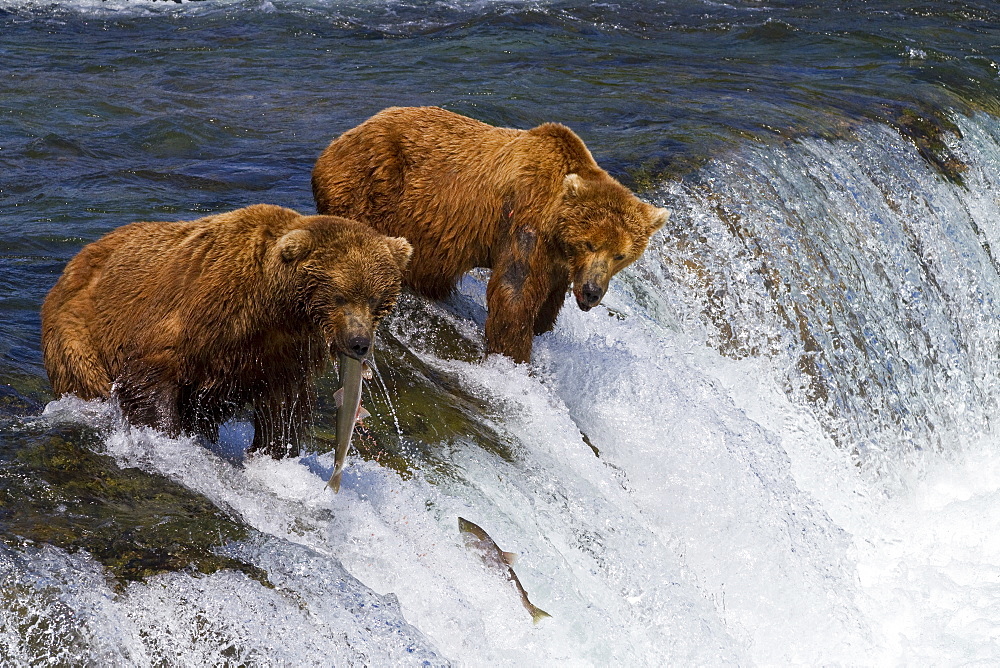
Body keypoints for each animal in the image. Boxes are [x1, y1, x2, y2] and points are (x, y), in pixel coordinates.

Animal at [41, 201, 412, 456]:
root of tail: (75, 260)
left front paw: (273, 450)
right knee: (87, 377)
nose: (359, 342)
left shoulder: (284, 352)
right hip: (77, 330)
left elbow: (284, 406)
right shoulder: (203, 310)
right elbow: (153, 372)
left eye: (377, 300)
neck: (274, 307)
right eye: (339, 296)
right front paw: (166, 432)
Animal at [312, 106, 672, 362]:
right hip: (369, 189)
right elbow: (514, 292)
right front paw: (514, 355)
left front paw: (541, 329)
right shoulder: (526, 218)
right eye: (589, 243)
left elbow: (547, 303)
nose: (592, 291)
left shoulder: (558, 261)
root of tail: (336, 142)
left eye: (620, 255)